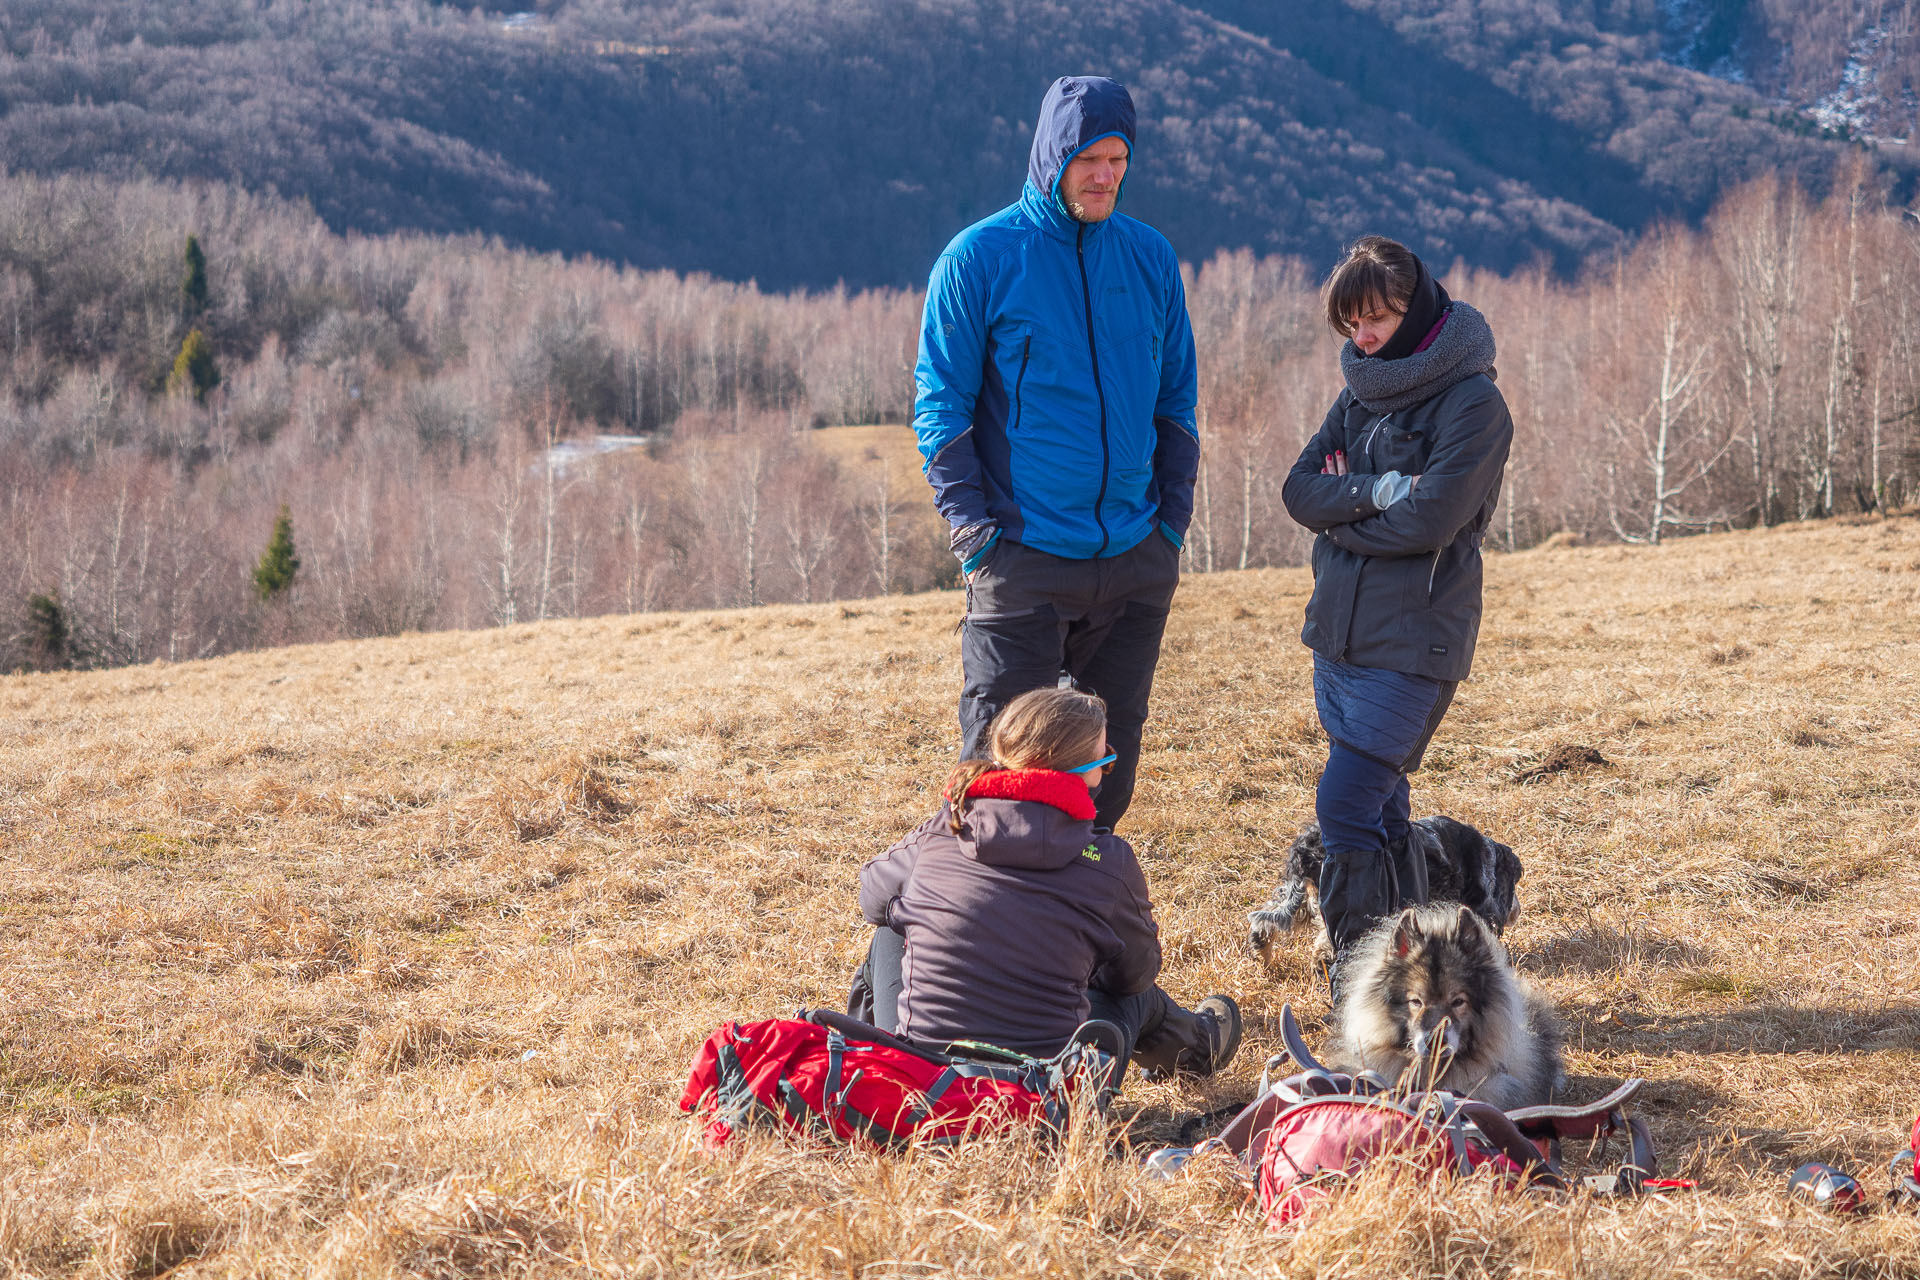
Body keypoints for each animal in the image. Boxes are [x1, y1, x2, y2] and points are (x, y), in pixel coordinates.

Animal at [1244, 821, 1528, 971]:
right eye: (1514, 885)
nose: (1518, 911)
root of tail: (1306, 846)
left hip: (1301, 896)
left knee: (1269, 917)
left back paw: (1262, 950)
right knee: (1328, 939)